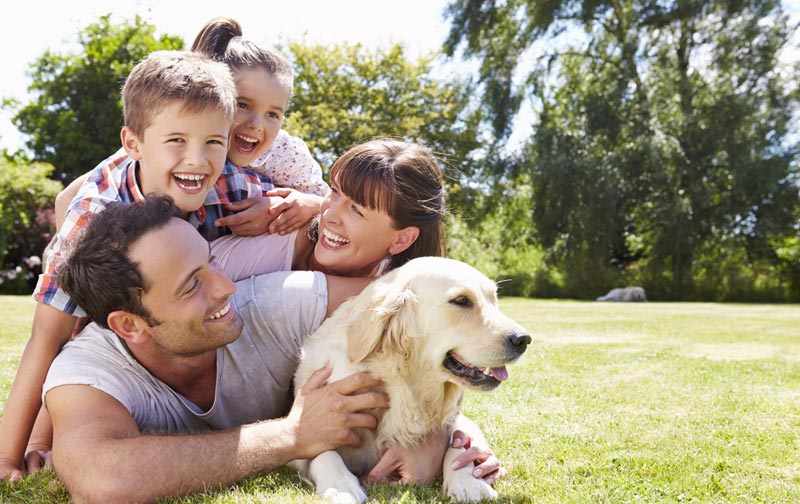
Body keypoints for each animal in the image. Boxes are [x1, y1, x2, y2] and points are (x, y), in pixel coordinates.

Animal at [290, 258, 532, 502]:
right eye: (461, 300)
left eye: (494, 300)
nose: (523, 339)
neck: (403, 387)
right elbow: (324, 451)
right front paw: (341, 486)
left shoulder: (453, 419)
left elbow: (459, 441)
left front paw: (468, 482)